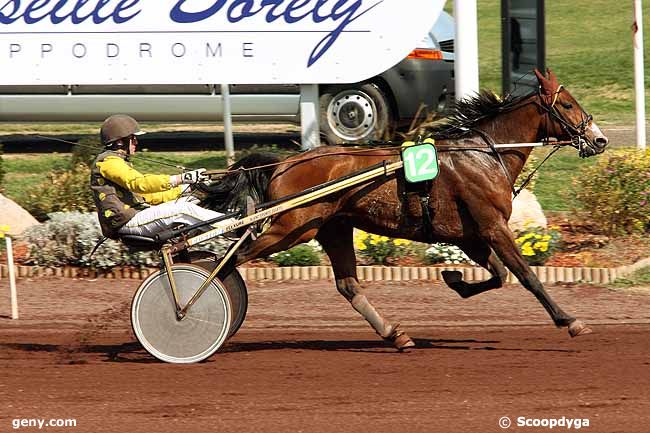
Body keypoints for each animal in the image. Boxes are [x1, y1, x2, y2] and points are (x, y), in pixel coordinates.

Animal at [201, 69, 608, 350]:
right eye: (568, 104)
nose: (599, 139)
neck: (482, 154)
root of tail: (283, 164)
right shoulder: (492, 226)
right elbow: (526, 276)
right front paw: (569, 320)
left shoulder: (469, 235)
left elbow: (497, 275)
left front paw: (455, 280)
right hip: (293, 228)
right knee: (231, 259)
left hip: (332, 228)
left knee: (348, 285)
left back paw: (395, 334)